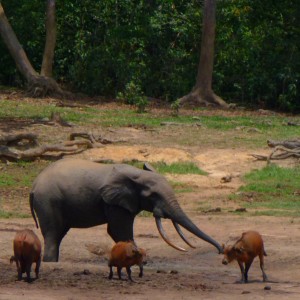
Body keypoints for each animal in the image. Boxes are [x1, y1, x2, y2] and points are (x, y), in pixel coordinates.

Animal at [30, 158, 223, 262]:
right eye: (153, 196)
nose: (221, 250)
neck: (137, 174)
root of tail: (34, 185)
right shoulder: (114, 202)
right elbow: (119, 230)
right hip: (48, 201)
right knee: (53, 234)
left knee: (58, 235)